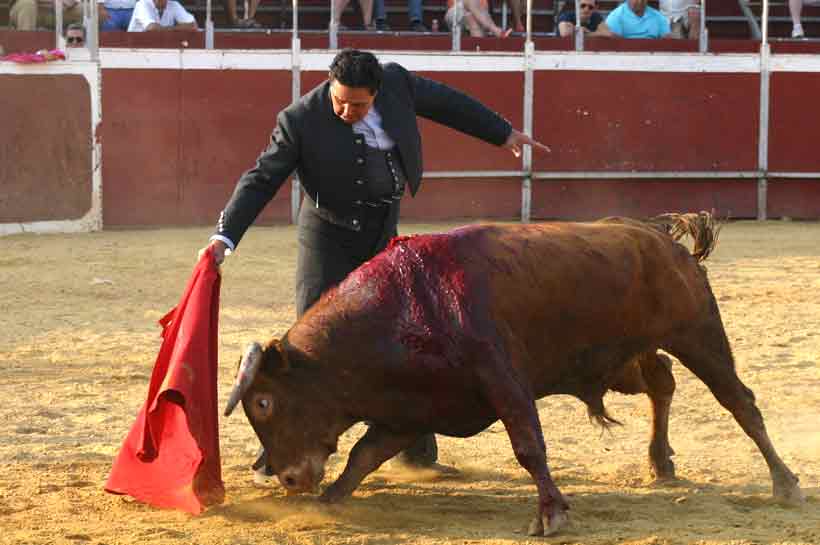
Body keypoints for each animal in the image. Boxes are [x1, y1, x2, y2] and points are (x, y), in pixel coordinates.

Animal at [223, 214, 800, 536]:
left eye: (264, 402)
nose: (288, 477)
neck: (406, 309)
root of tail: (663, 239)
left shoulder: (503, 381)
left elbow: (528, 447)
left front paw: (551, 514)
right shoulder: (413, 410)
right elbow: (364, 455)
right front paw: (328, 502)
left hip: (699, 333)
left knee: (739, 401)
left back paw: (785, 482)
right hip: (624, 360)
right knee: (662, 383)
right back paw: (660, 463)